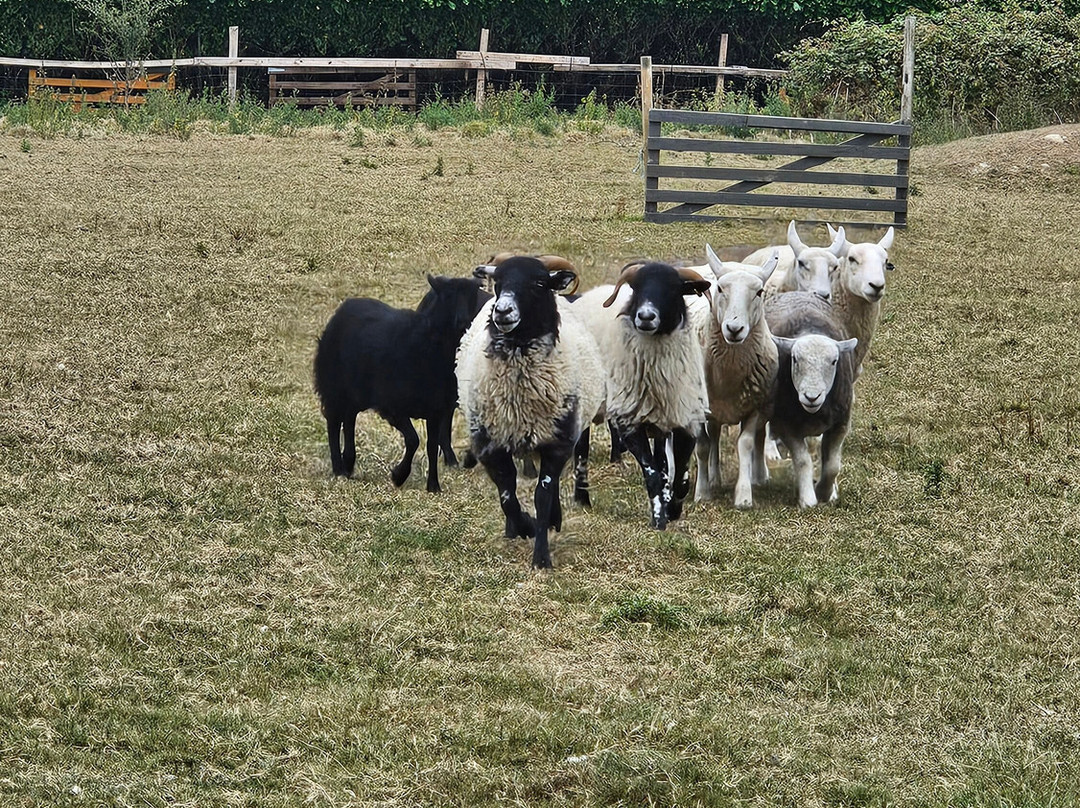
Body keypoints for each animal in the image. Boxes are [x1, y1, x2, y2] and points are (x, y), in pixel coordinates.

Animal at [313, 274, 488, 493]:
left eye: (472, 296)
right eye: (448, 296)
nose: (463, 321)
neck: (428, 346)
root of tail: (345, 307)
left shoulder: (436, 410)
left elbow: (431, 447)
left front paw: (433, 486)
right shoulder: (393, 406)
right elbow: (413, 440)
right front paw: (399, 475)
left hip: (358, 392)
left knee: (349, 418)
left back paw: (349, 463)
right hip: (335, 384)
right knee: (334, 421)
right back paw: (339, 469)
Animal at [456, 255, 605, 569]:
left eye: (538, 283)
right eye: (498, 283)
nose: (502, 311)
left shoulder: (557, 442)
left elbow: (543, 497)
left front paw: (542, 557)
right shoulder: (490, 444)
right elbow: (507, 496)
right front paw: (524, 526)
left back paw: (554, 520)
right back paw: (514, 529)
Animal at [570, 261, 712, 528]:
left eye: (674, 288)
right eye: (636, 287)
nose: (645, 316)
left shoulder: (685, 418)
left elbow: (680, 477)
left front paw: (673, 508)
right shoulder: (630, 423)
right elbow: (653, 474)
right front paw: (659, 519)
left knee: (663, 460)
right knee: (580, 451)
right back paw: (581, 499)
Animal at [694, 245, 780, 509]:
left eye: (759, 292)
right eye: (720, 289)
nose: (734, 329)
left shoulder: (754, 408)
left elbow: (746, 445)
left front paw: (743, 496)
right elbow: (702, 446)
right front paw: (702, 492)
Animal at [765, 291, 858, 507]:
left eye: (834, 361)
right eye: (794, 359)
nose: (811, 397)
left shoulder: (840, 424)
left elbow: (832, 465)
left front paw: (825, 492)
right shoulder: (787, 425)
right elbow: (803, 461)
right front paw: (807, 498)